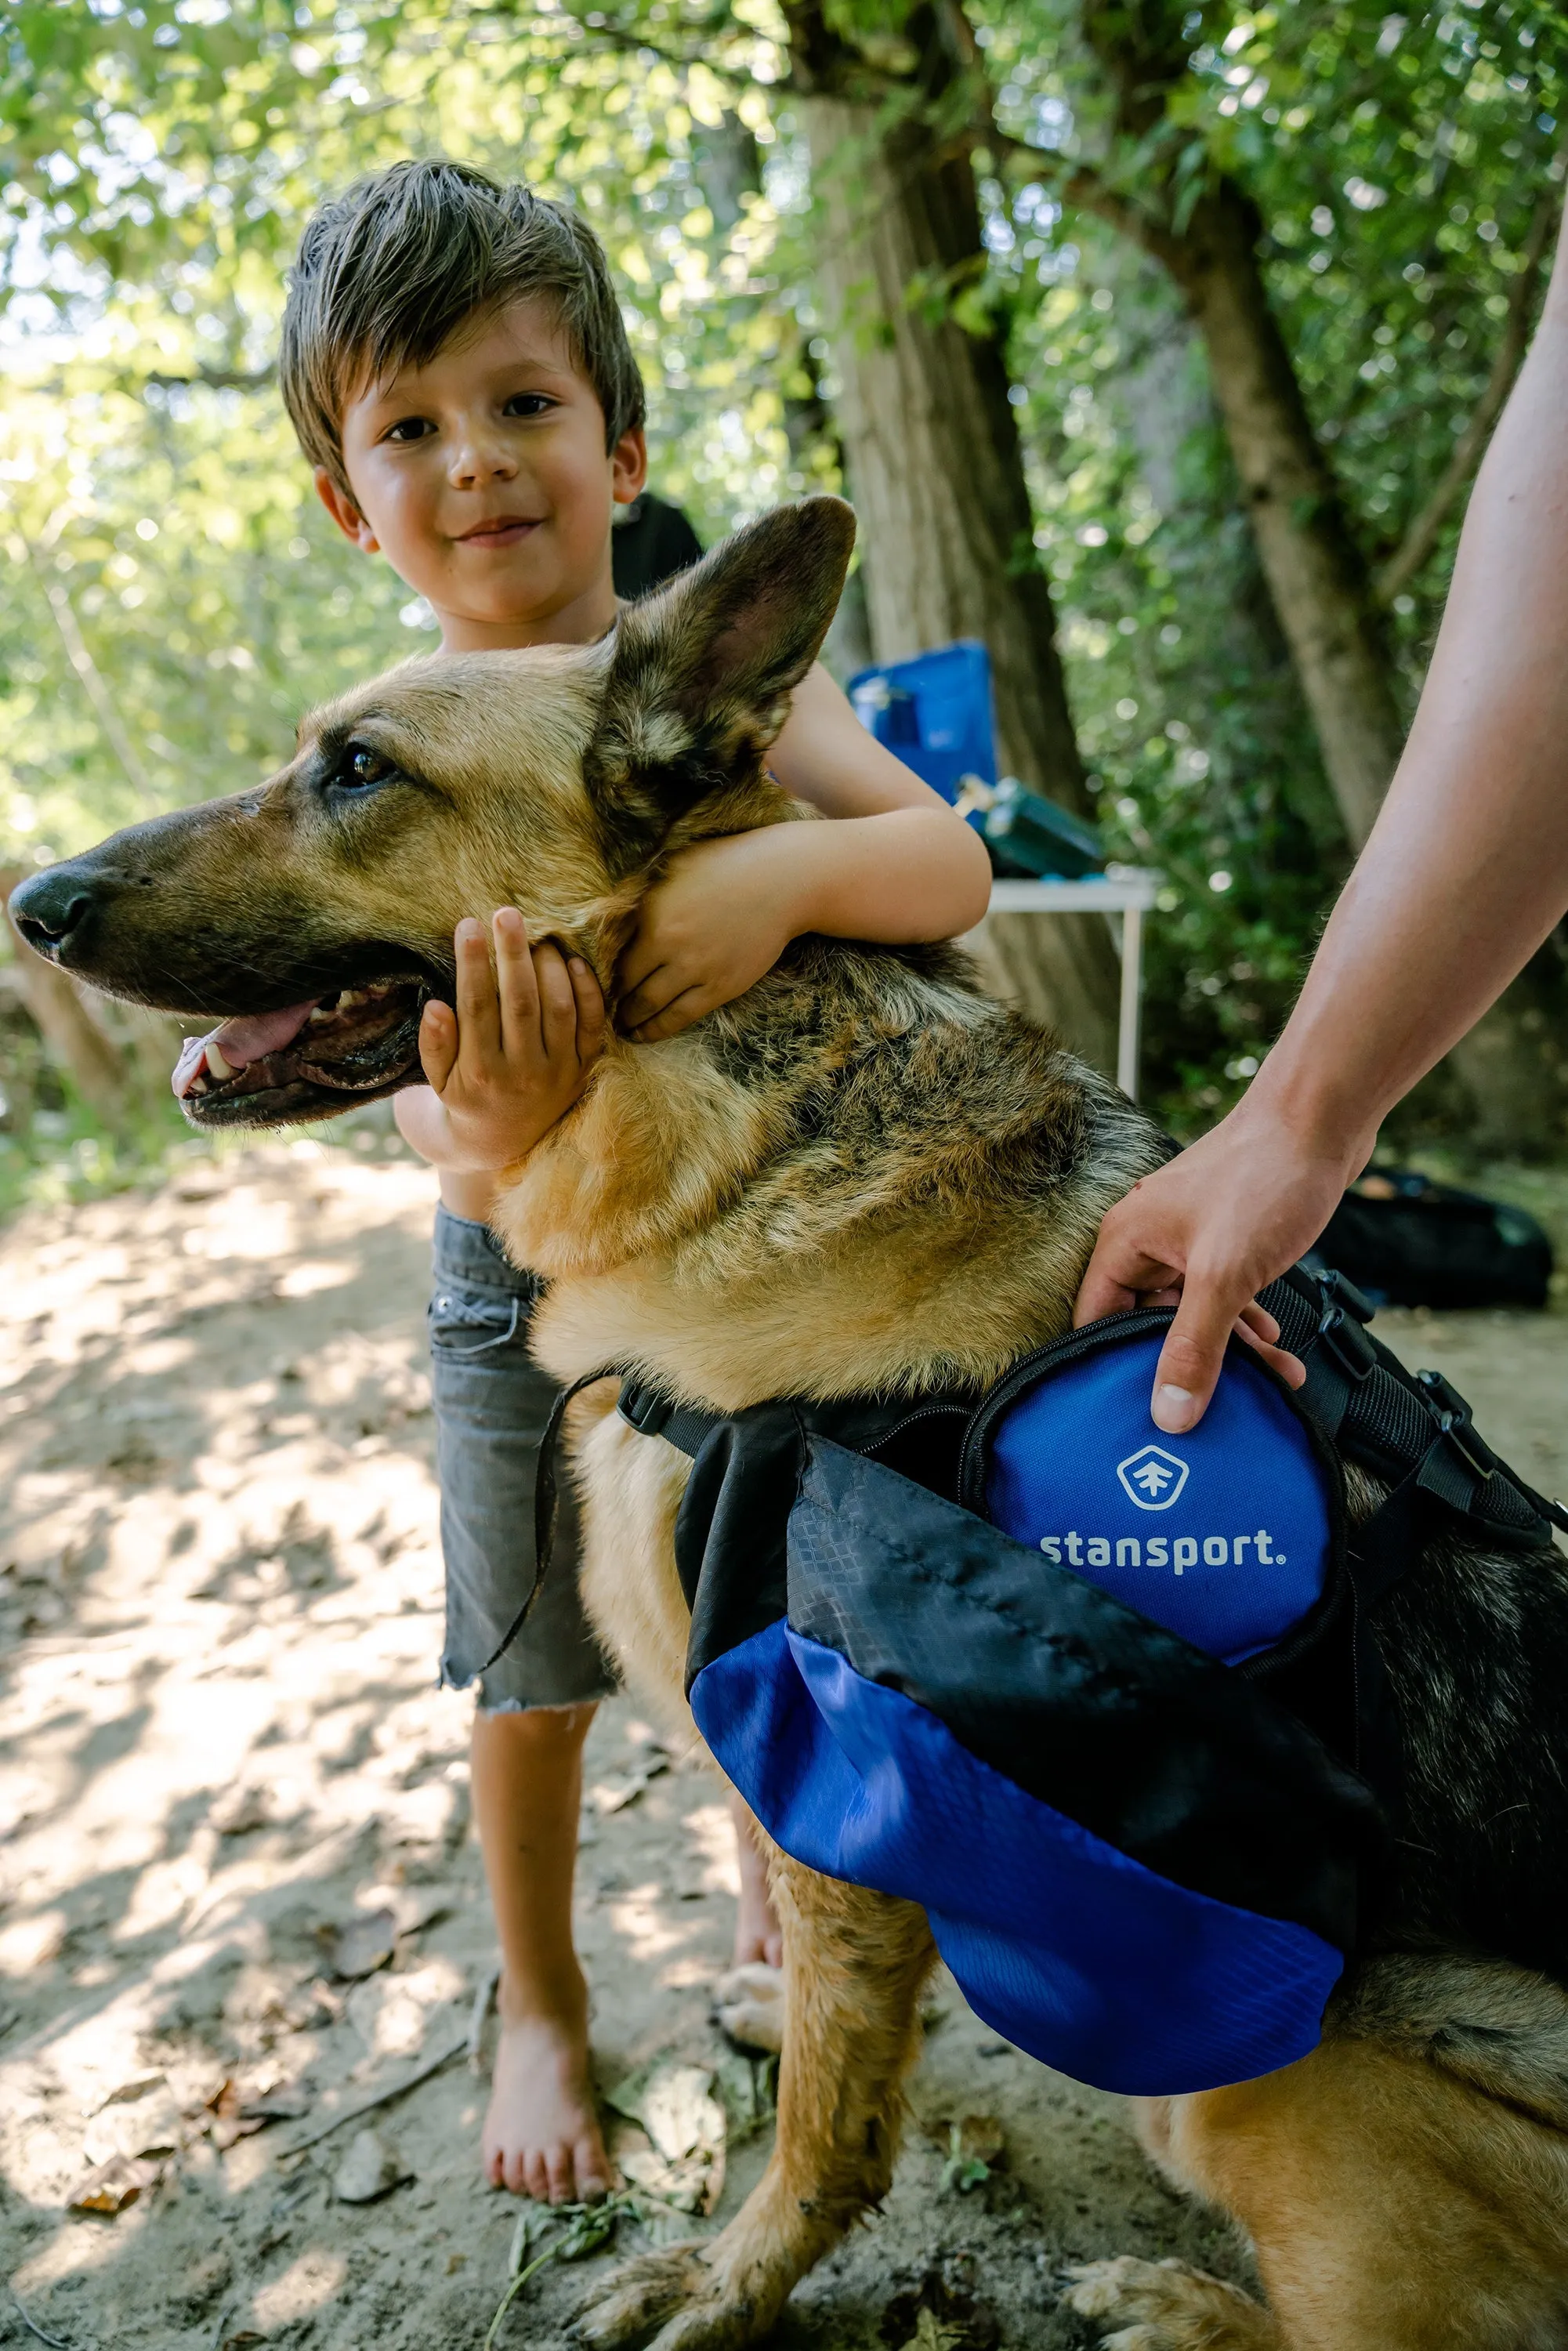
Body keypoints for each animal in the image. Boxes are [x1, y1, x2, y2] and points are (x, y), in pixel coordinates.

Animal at [9, 501, 1568, 2351]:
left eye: (360, 770)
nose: (33, 902)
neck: (714, 1097)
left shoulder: (845, 1785)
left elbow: (831, 2118)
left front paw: (738, 2278)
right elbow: (855, 2034)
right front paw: (791, 2042)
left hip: (1284, 2082)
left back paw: (1185, 2305)